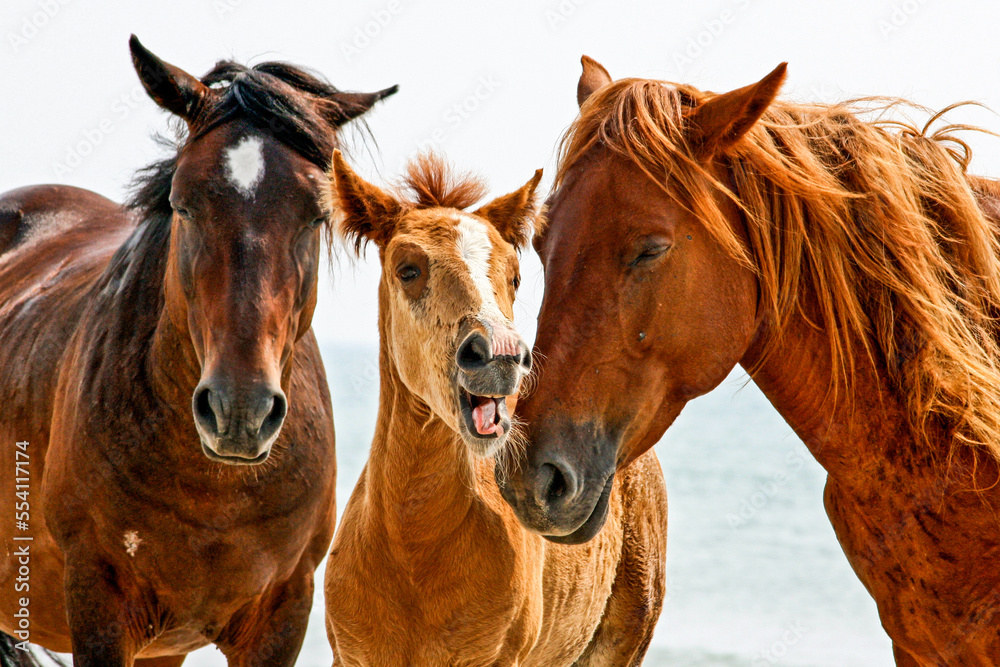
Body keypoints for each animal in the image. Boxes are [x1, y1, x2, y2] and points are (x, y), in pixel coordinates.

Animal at [0, 36, 394, 666]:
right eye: (182, 204)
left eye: (317, 215)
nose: (240, 411)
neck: (214, 491)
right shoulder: (98, 603)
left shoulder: (281, 613)